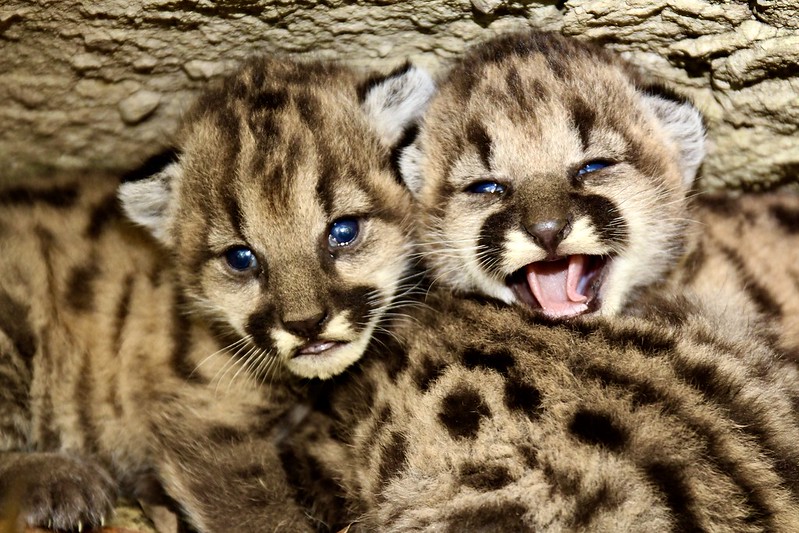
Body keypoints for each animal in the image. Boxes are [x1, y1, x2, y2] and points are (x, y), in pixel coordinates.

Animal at [0, 56, 432, 528]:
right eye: (241, 258)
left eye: (344, 230)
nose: (305, 324)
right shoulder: (205, 420)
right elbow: (258, 515)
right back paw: (64, 481)